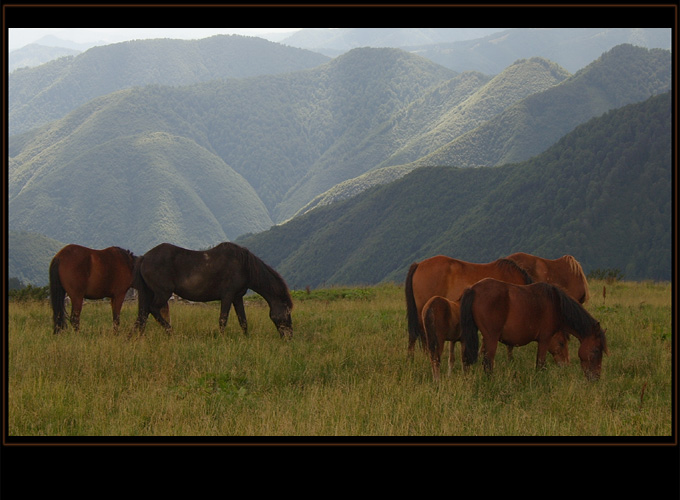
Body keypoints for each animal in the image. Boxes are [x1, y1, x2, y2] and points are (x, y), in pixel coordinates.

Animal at [133, 240, 292, 338]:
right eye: (287, 312)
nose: (289, 336)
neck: (244, 266)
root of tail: (144, 257)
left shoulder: (237, 297)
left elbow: (243, 321)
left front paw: (246, 338)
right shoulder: (227, 296)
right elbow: (223, 319)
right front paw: (222, 338)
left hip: (149, 293)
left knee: (143, 315)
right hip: (163, 293)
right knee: (153, 309)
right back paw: (170, 331)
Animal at [422, 294, 572, 380]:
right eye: (561, 343)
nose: (565, 364)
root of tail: (429, 307)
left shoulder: (453, 340)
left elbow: (452, 359)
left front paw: (451, 376)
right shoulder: (463, 340)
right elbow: (464, 359)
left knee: (433, 357)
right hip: (438, 339)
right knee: (435, 358)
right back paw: (437, 380)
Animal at [460, 280, 608, 380]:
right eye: (596, 350)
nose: (595, 378)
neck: (556, 304)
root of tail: (473, 289)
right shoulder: (544, 340)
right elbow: (540, 364)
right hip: (491, 338)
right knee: (488, 362)